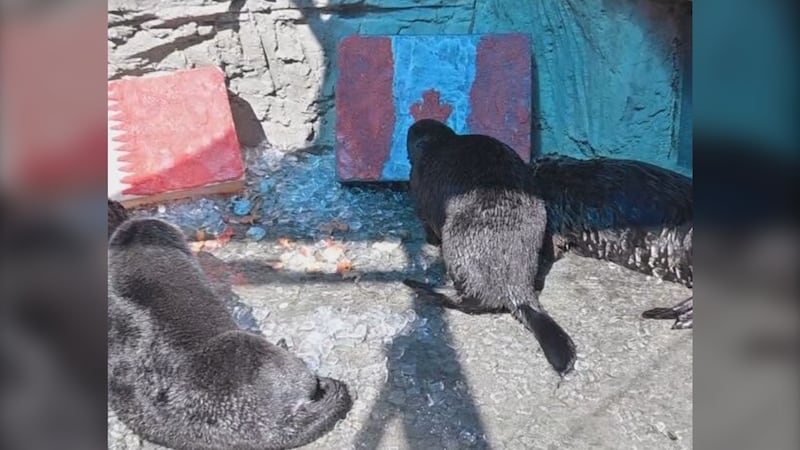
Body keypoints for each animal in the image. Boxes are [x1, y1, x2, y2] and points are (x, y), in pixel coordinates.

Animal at [404, 119, 577, 376]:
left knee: (474, 300)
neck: (438, 144)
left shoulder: (418, 189)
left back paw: (428, 290)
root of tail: (516, 286)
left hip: (457, 243)